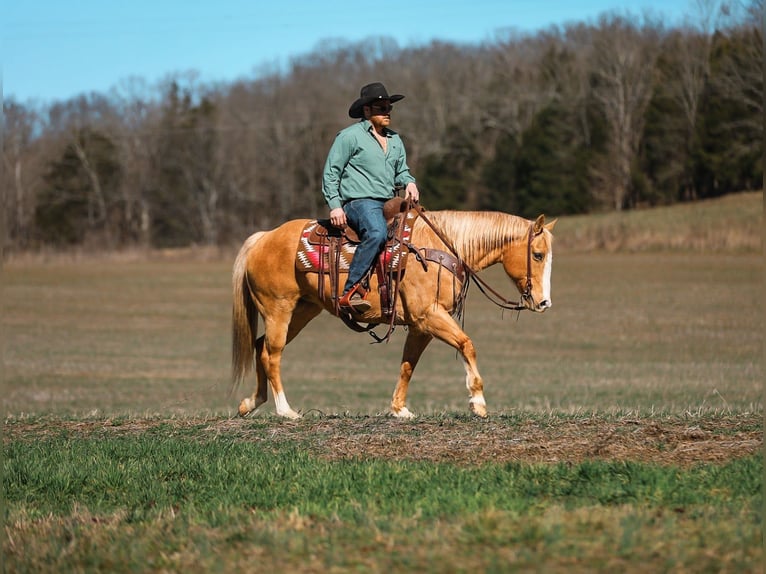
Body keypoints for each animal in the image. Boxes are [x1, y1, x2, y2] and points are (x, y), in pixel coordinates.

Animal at [231, 208, 556, 419]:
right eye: (538, 255)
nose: (544, 303)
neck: (439, 249)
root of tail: (263, 238)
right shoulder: (430, 315)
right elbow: (467, 345)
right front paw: (477, 401)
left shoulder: (420, 326)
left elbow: (408, 364)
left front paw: (400, 409)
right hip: (279, 309)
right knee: (272, 353)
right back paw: (285, 410)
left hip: (303, 311)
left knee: (260, 347)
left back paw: (250, 403)